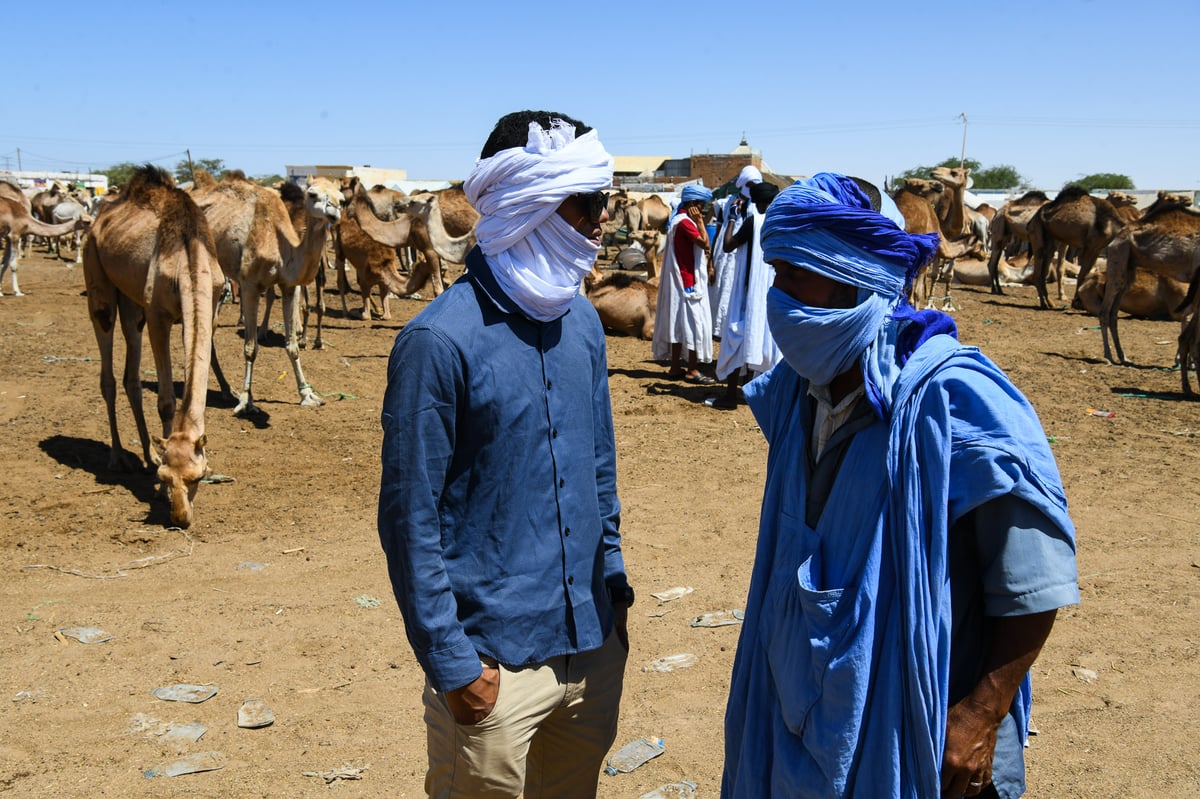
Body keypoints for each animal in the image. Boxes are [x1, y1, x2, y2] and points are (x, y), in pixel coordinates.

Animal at [82, 166, 225, 527]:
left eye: (198, 476)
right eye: (166, 478)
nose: (180, 518)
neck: (190, 259)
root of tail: (97, 219)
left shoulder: (210, 306)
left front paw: (156, 454)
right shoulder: (158, 315)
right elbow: (166, 401)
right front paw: (158, 488)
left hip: (132, 302)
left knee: (131, 376)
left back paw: (146, 452)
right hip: (96, 273)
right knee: (107, 368)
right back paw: (118, 457)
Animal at [189, 170, 343, 412]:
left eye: (342, 198)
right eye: (312, 194)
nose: (334, 212)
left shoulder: (289, 287)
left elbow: (292, 345)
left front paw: (307, 395)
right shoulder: (249, 285)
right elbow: (251, 348)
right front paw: (246, 400)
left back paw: (226, 390)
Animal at [1099, 200, 1200, 362]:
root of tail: (1118, 236)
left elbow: (1187, 315)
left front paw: (1184, 360)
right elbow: (1189, 316)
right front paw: (1184, 360)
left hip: (1128, 270)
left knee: (1114, 313)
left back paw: (1122, 356)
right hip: (1118, 257)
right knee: (1105, 311)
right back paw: (1108, 356)